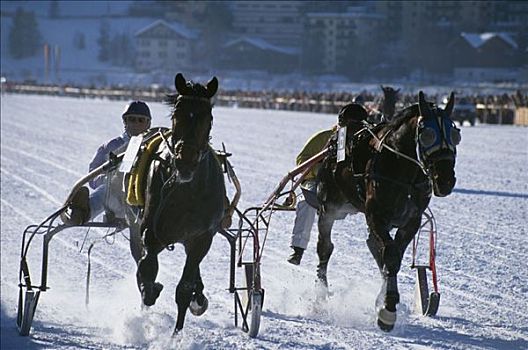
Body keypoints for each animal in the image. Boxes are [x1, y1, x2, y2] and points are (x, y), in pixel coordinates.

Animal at [127, 72, 228, 334]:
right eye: (177, 115)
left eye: (208, 117)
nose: (186, 161)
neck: (186, 190)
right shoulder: (151, 231)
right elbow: (146, 272)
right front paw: (151, 294)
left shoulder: (202, 237)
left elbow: (184, 287)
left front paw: (177, 333)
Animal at [316, 90, 460, 330]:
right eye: (427, 135)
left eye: (455, 135)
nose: (446, 179)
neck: (402, 169)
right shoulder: (376, 214)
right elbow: (390, 255)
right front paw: (388, 309)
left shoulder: (411, 219)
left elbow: (394, 254)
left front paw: (383, 300)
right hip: (329, 206)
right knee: (325, 247)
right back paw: (321, 293)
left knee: (374, 245)